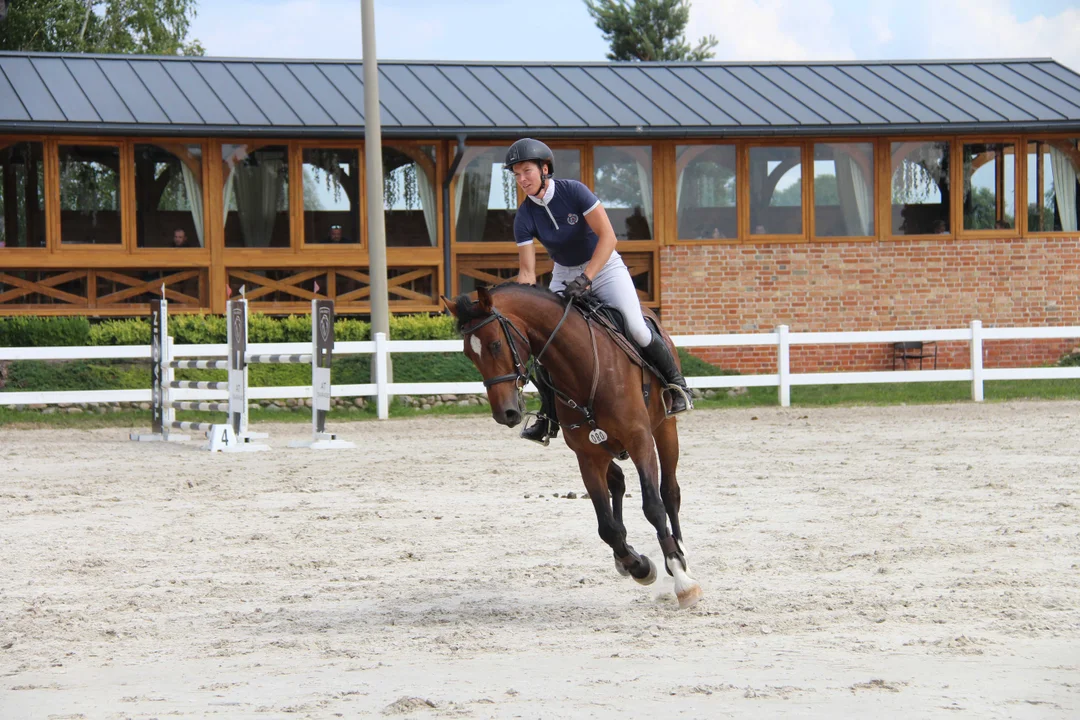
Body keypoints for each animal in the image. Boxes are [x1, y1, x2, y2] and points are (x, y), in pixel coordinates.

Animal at [442, 280, 704, 608]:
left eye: (495, 344)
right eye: (468, 353)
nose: (506, 413)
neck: (584, 369)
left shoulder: (640, 439)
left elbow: (653, 507)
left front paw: (681, 579)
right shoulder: (587, 455)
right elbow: (606, 527)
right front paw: (638, 565)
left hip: (665, 429)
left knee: (669, 491)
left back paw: (680, 555)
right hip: (604, 447)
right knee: (618, 482)